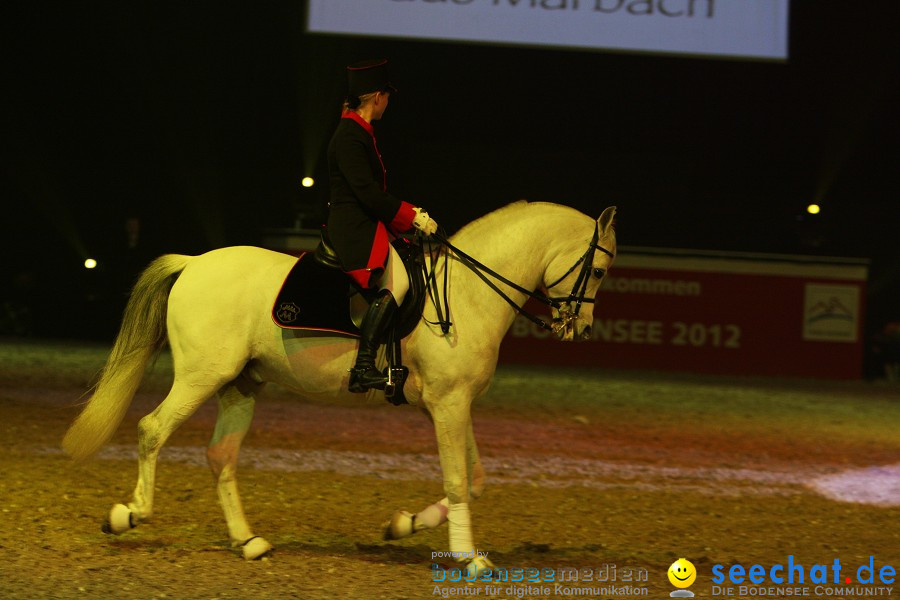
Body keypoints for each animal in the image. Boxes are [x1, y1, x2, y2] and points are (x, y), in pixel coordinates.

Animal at [59, 203, 616, 576]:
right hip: (201, 376)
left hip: (240, 385)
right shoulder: (448, 404)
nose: (582, 329)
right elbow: (460, 480)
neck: (466, 293)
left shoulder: (452, 405)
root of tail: (194, 261)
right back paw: (129, 515)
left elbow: (475, 479)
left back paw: (248, 542)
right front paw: (468, 558)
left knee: (220, 456)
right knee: (153, 429)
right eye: (600, 269)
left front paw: (403, 526)